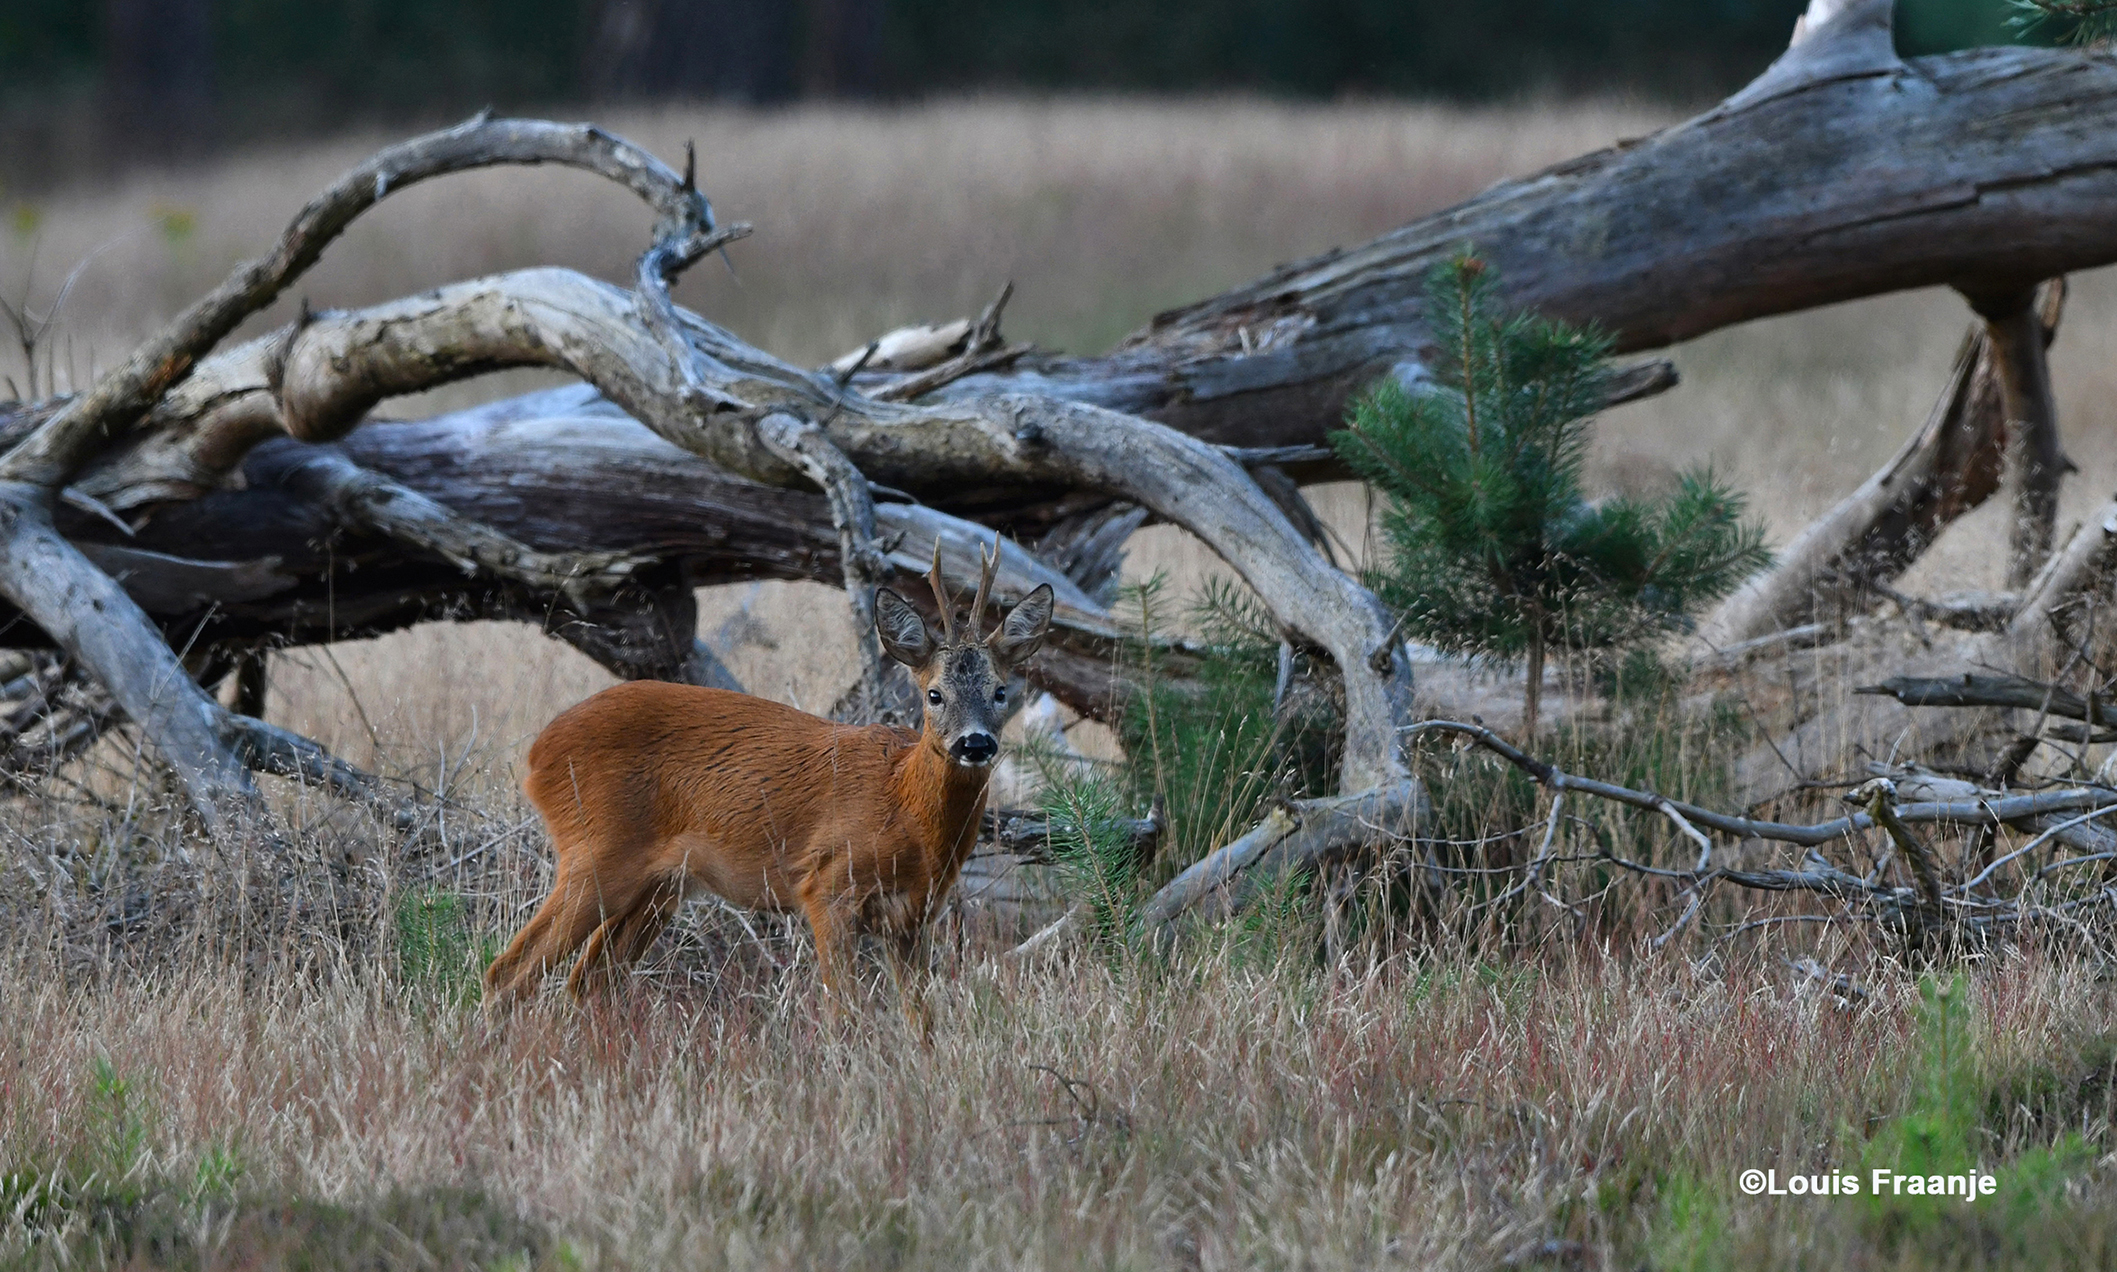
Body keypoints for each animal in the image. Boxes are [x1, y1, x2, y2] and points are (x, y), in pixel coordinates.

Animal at [484, 539, 1054, 1015]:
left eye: (1001, 691)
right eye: (934, 693)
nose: (974, 744)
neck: (905, 810)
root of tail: (537, 753)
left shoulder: (912, 917)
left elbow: (923, 1022)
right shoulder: (826, 885)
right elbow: (845, 1010)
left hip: (660, 885)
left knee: (588, 978)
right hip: (596, 853)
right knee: (508, 971)